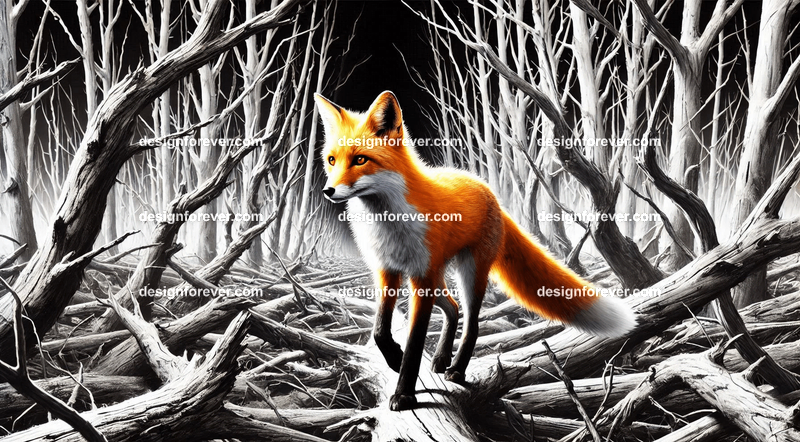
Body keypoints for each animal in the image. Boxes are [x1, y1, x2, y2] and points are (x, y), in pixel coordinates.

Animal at [314, 90, 636, 411]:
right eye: (331, 160)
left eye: (360, 159)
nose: (328, 191)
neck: (386, 221)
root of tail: (488, 191)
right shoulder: (388, 271)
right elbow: (379, 330)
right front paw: (394, 357)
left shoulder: (420, 277)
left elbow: (416, 344)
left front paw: (404, 393)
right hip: (439, 278)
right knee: (453, 308)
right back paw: (442, 358)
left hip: (468, 273)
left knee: (472, 323)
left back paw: (457, 369)